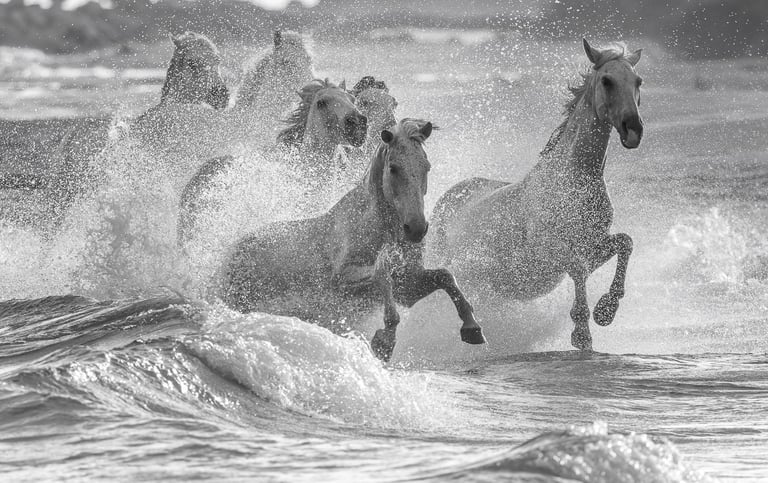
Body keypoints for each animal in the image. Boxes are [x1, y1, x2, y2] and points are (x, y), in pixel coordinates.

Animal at [220, 119, 485, 361]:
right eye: (394, 168)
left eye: (426, 166)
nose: (416, 229)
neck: (378, 229)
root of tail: (232, 252)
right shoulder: (341, 280)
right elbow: (381, 275)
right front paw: (385, 341)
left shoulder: (407, 287)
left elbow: (446, 276)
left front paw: (472, 327)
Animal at [429, 39, 644, 351]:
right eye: (607, 80)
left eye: (638, 81)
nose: (633, 129)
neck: (573, 182)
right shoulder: (553, 252)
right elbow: (577, 269)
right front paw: (582, 332)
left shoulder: (592, 247)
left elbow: (625, 243)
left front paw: (606, 310)